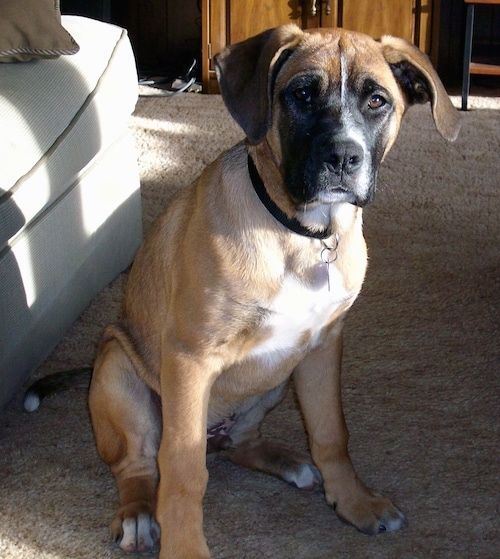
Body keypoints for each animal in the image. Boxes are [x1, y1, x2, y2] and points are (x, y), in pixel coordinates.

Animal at [87, 24, 460, 556]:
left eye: (377, 101)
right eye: (301, 94)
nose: (343, 157)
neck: (304, 233)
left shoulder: (323, 346)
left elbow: (331, 433)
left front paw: (354, 501)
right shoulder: (189, 356)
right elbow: (182, 469)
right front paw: (184, 545)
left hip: (274, 379)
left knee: (239, 443)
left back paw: (291, 464)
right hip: (119, 371)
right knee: (138, 465)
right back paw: (139, 514)